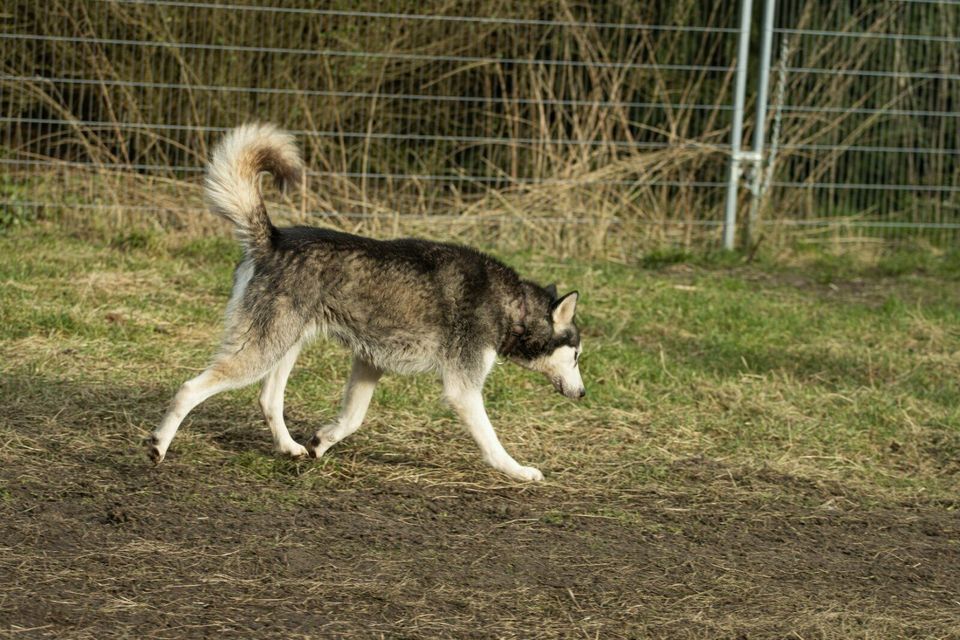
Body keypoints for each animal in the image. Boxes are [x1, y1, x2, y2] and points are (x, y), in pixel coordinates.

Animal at [150, 124, 584, 480]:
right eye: (577, 355)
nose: (584, 395)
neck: (512, 306)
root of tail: (273, 239)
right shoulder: (462, 390)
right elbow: (491, 444)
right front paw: (519, 471)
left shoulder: (370, 362)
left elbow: (353, 419)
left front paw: (322, 442)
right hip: (261, 350)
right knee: (189, 388)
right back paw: (158, 446)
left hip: (285, 346)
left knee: (268, 399)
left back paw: (290, 447)